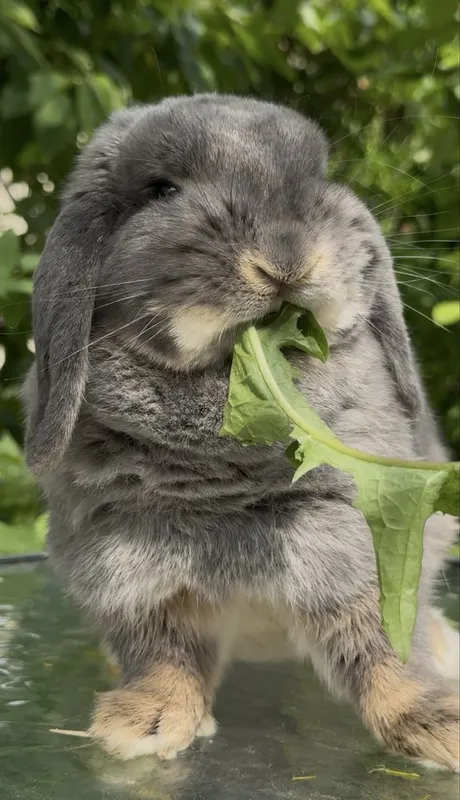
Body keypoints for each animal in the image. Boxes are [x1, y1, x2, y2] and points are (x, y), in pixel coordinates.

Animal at [23, 94, 459, 769]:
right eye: (162, 190)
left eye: (317, 176)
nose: (287, 258)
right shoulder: (129, 568)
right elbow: (164, 656)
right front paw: (144, 724)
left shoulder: (356, 546)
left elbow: (386, 643)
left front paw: (439, 726)